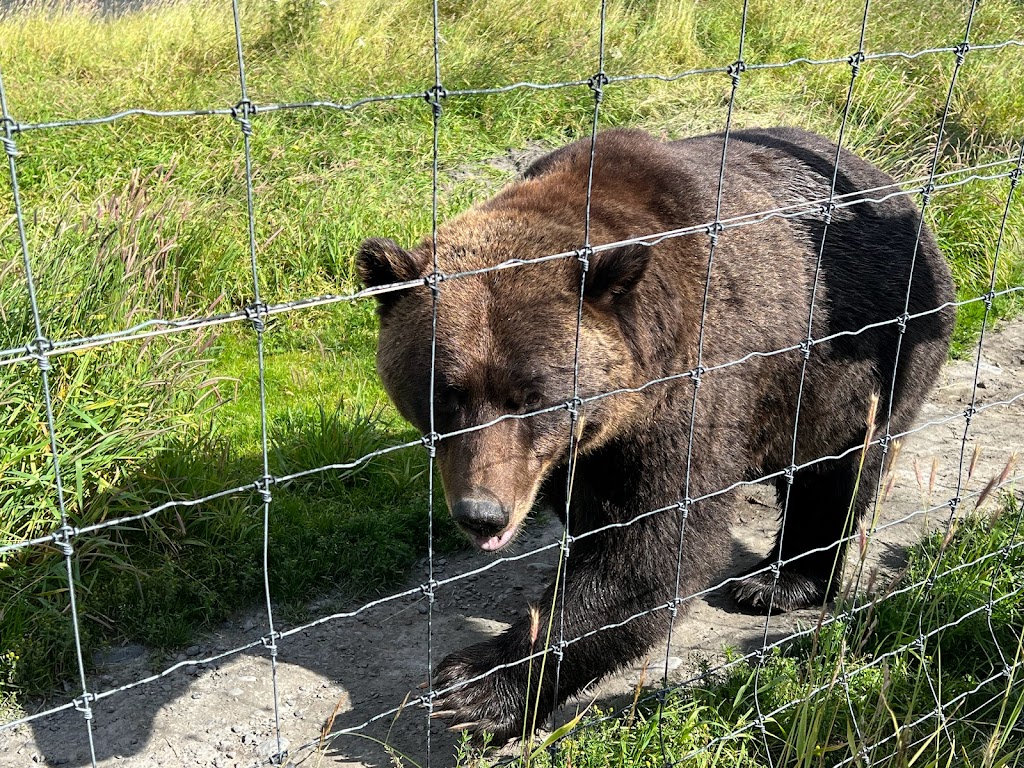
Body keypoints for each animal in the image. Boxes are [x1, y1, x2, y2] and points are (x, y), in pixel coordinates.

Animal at [356, 128, 954, 745]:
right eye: (445, 394)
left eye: (534, 397)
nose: (482, 513)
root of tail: (894, 188)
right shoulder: (579, 453)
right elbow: (599, 522)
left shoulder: (694, 383)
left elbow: (652, 548)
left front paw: (476, 688)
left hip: (864, 353)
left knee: (837, 471)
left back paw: (779, 582)